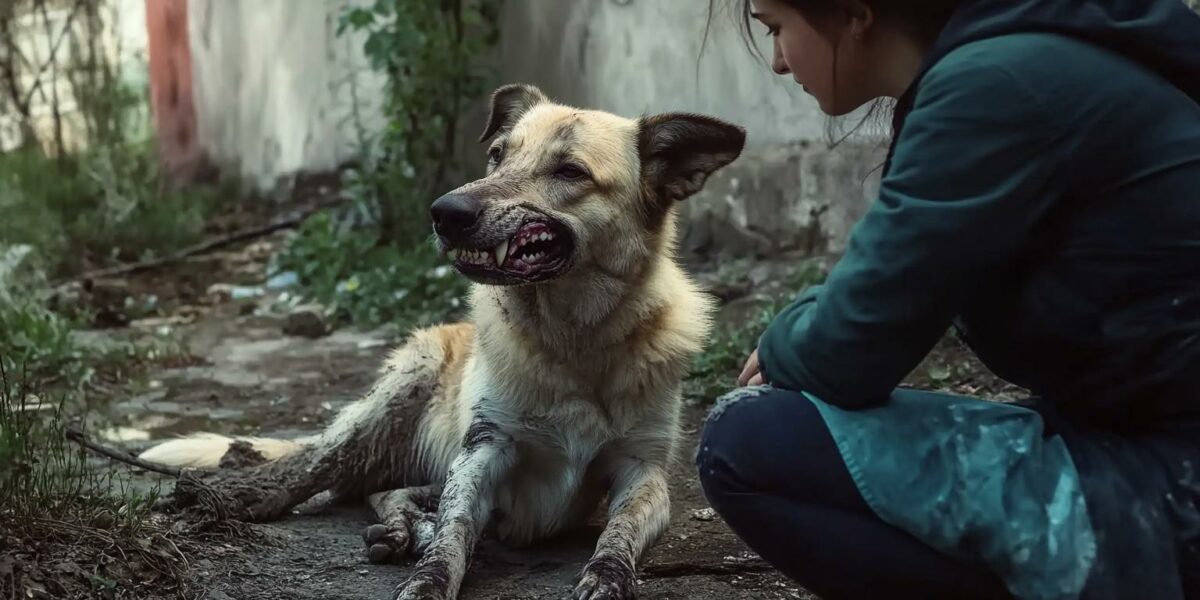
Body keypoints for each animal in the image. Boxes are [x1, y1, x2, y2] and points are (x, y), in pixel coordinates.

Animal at [138, 84, 739, 600]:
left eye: (570, 170)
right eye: (496, 155)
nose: (445, 213)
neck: (575, 341)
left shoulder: (644, 472)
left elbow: (618, 533)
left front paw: (609, 575)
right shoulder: (483, 450)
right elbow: (453, 533)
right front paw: (428, 578)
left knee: (386, 490)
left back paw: (401, 529)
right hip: (399, 390)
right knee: (317, 466)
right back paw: (239, 494)